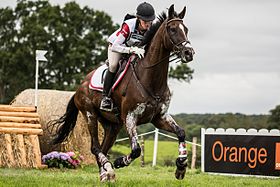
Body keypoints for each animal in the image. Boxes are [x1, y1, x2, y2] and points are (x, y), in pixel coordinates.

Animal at [50, 4, 195, 182]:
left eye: (186, 29)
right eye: (172, 29)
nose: (189, 53)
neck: (151, 79)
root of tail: (79, 88)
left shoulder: (159, 117)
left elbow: (181, 133)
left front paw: (181, 167)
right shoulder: (130, 117)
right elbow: (136, 150)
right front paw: (120, 161)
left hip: (113, 125)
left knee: (103, 147)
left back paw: (105, 174)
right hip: (90, 115)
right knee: (95, 147)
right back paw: (109, 169)